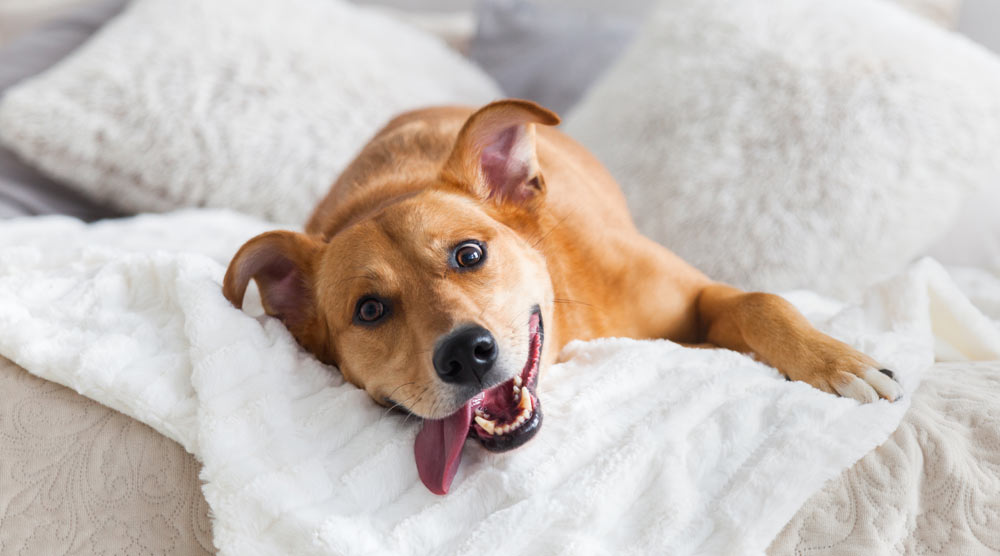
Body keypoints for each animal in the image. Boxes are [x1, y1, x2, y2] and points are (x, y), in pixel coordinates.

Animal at [223, 97, 904, 494]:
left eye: (468, 255)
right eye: (369, 310)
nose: (464, 354)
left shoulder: (699, 295)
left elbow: (761, 300)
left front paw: (838, 362)